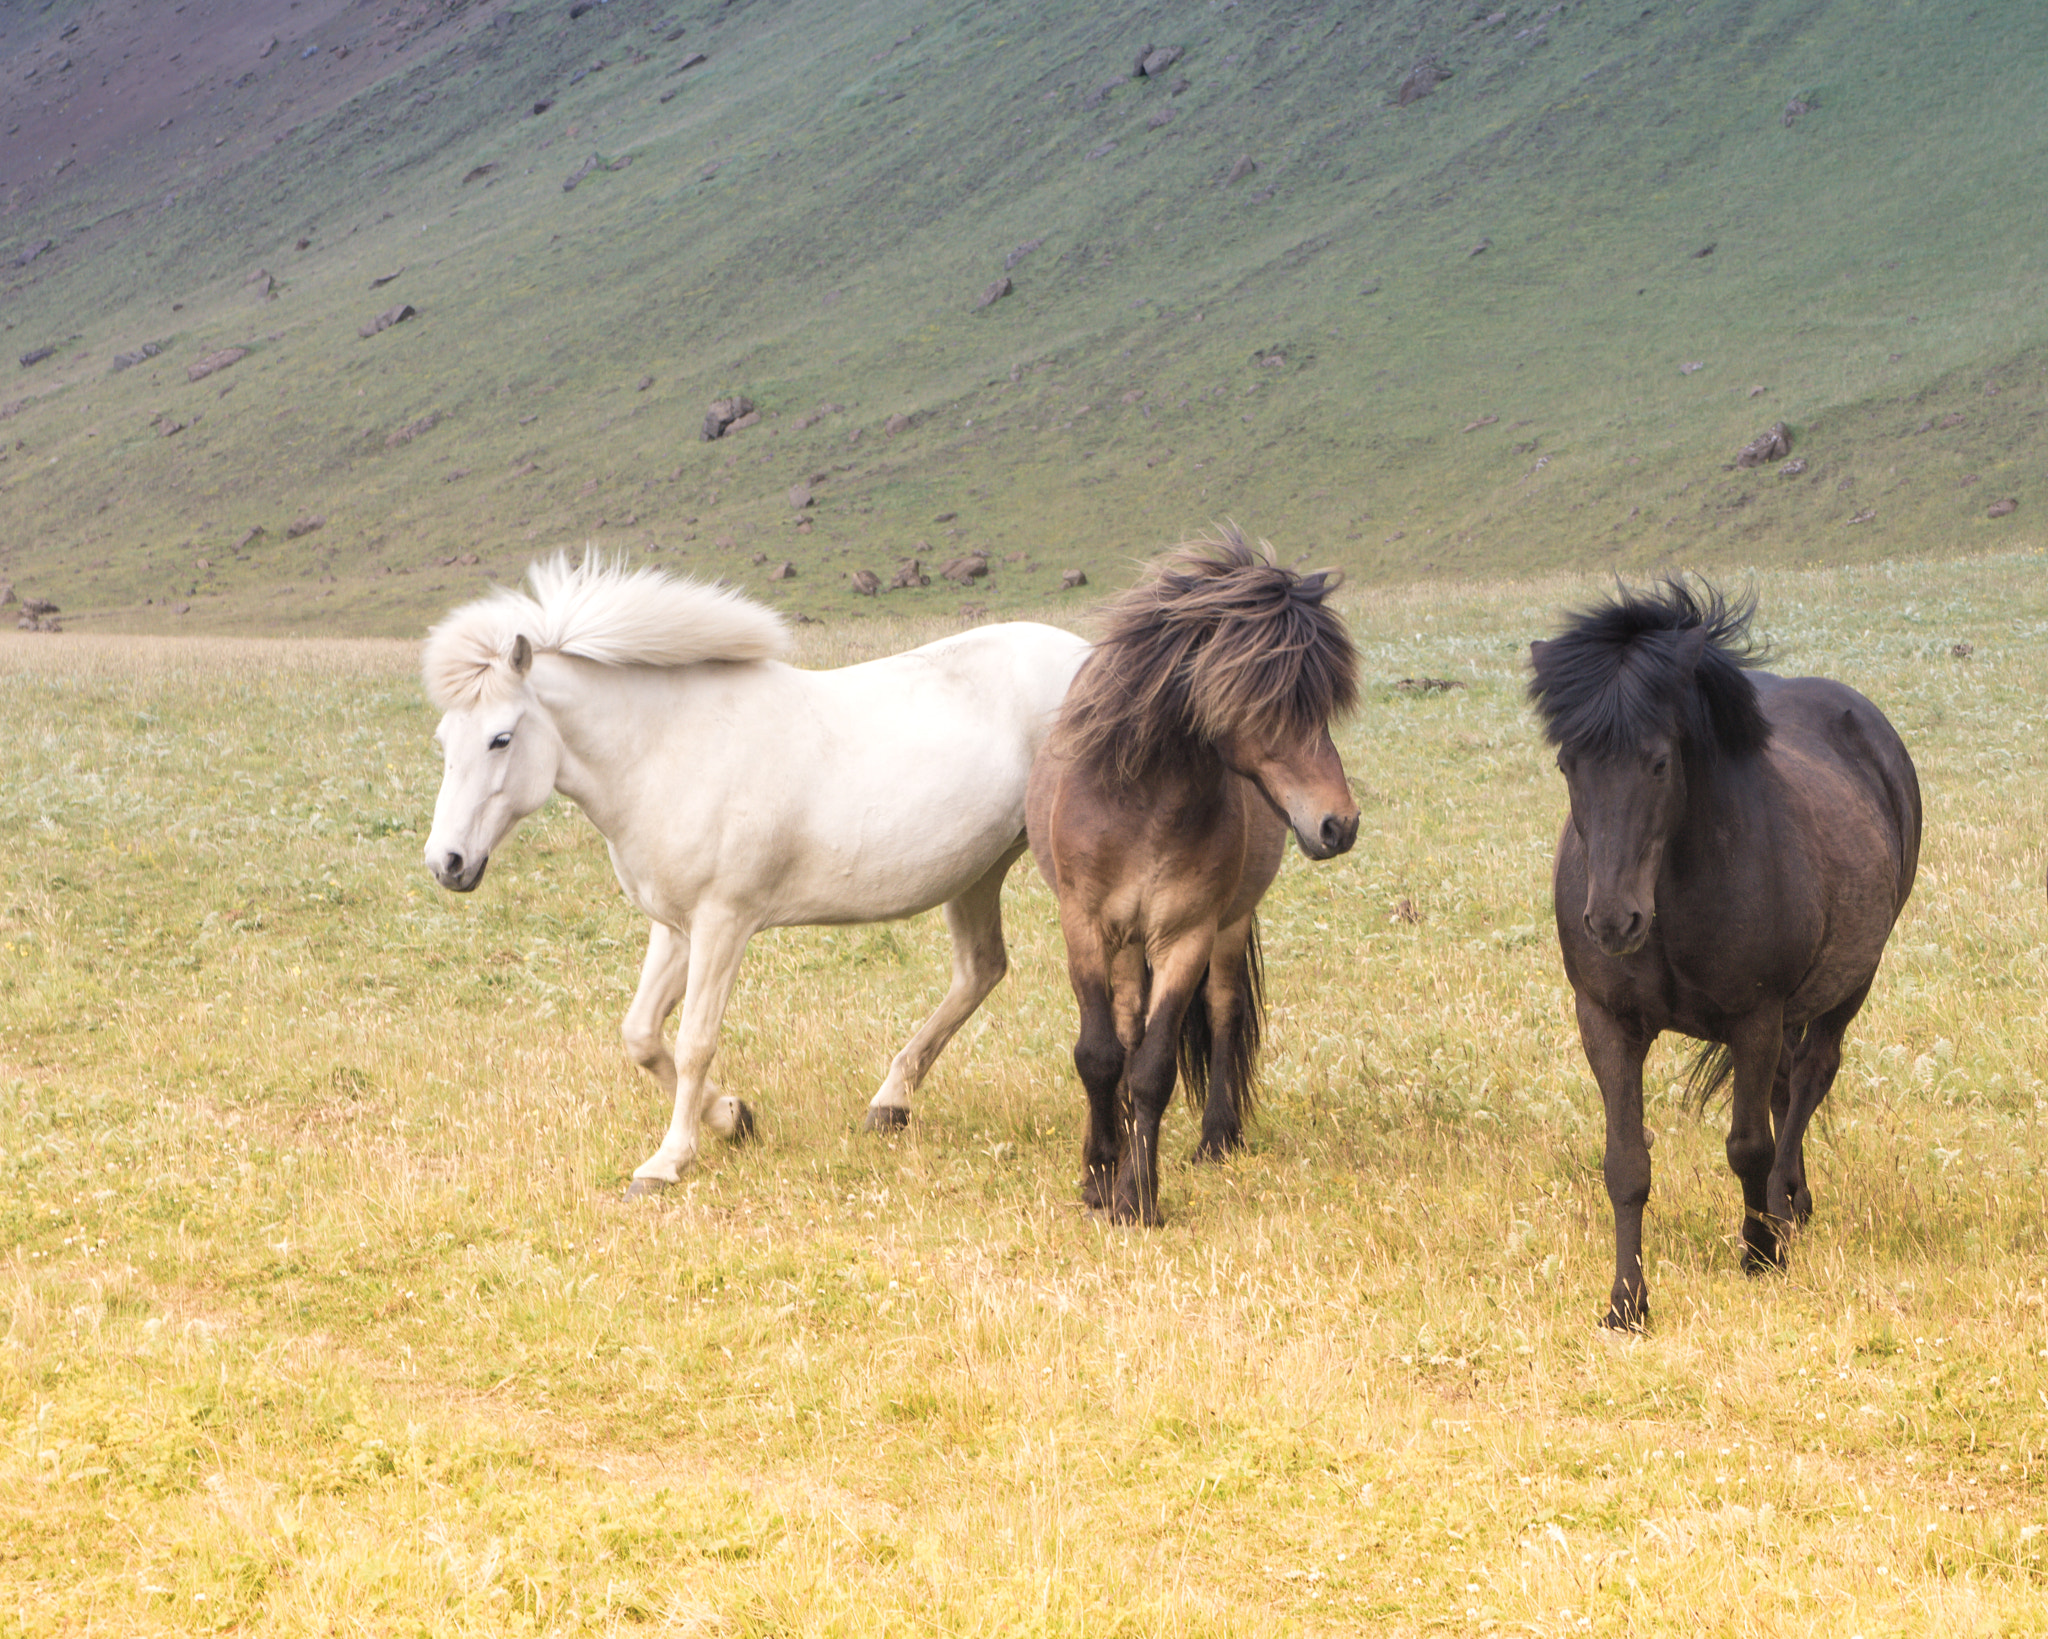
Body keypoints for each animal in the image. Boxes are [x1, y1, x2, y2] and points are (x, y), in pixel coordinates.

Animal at [423, 561, 1097, 1188]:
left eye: (500, 738)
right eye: (444, 738)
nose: (446, 862)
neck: (670, 748)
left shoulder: (723, 924)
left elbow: (694, 1041)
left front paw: (668, 1161)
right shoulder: (677, 927)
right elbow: (641, 1034)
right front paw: (733, 1116)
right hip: (979, 870)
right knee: (980, 970)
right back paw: (890, 1105)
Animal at [1024, 532, 1359, 1221]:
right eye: (1267, 697)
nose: (1339, 824)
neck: (1145, 802)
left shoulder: (1186, 935)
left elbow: (1154, 1067)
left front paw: (1138, 1197)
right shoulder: (1084, 925)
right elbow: (1100, 1056)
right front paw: (1100, 1174)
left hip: (1226, 929)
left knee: (1224, 1012)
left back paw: (1217, 1139)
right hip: (1126, 941)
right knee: (1125, 1026)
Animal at [1540, 581, 1916, 1327]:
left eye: (1659, 762)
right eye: (1570, 763)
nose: (1612, 919)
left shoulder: (1755, 1016)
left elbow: (1748, 1146)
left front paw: (1759, 1254)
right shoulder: (1605, 1020)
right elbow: (1625, 1164)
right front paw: (1626, 1302)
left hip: (1849, 982)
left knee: (1809, 1079)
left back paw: (1784, 1211)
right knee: (1787, 1088)